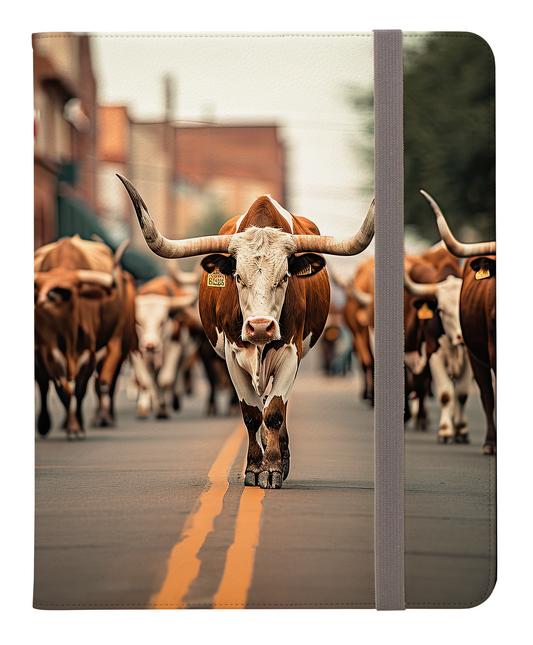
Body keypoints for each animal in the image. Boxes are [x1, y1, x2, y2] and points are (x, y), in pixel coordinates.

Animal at [34, 234, 135, 440]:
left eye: (66, 291)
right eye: (38, 289)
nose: (43, 299)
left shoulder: (89, 350)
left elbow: (80, 390)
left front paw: (77, 426)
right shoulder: (47, 349)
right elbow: (62, 390)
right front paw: (72, 426)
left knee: (106, 383)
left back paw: (104, 417)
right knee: (42, 382)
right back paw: (45, 425)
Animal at [117, 174, 374, 486]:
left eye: (284, 277)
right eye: (238, 277)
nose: (260, 327)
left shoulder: (291, 352)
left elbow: (274, 412)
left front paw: (273, 467)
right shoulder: (232, 353)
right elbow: (251, 414)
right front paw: (254, 467)